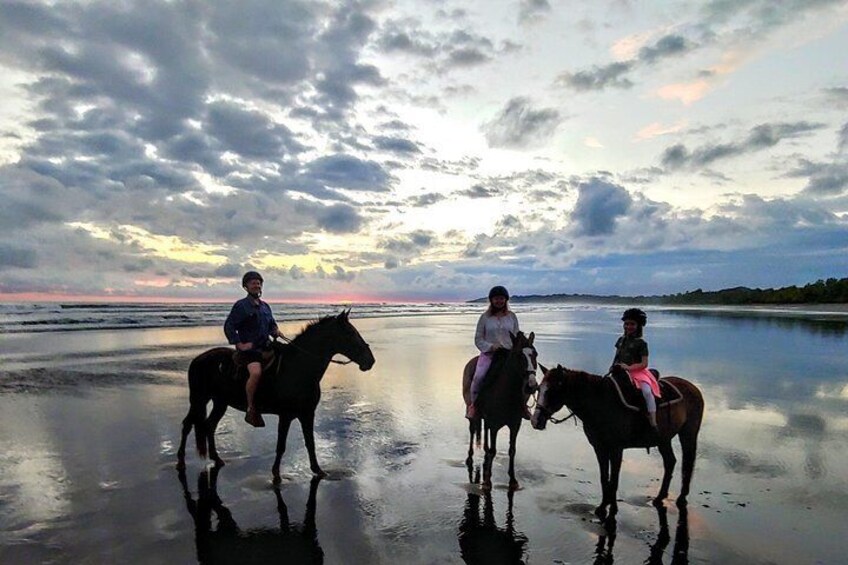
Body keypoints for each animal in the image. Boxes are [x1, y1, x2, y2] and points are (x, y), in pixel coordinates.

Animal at [176, 310, 374, 482]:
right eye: (350, 334)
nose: (370, 361)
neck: (299, 368)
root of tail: (198, 359)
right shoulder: (285, 416)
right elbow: (281, 445)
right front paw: (276, 475)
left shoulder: (307, 414)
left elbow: (310, 443)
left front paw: (318, 470)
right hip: (199, 399)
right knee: (187, 425)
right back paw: (180, 461)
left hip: (220, 402)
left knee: (209, 426)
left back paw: (216, 459)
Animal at [464, 330, 536, 490]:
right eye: (518, 355)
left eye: (535, 354)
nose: (531, 386)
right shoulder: (495, 425)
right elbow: (493, 450)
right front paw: (487, 482)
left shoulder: (515, 425)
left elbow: (512, 450)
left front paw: (513, 480)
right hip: (472, 413)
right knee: (472, 431)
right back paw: (469, 457)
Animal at [528, 364, 704, 516]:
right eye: (539, 389)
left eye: (552, 391)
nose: (535, 421)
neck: (600, 403)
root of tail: (694, 389)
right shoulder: (599, 448)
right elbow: (604, 477)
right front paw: (603, 506)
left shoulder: (616, 449)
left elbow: (614, 479)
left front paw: (611, 507)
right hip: (663, 439)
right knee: (670, 462)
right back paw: (660, 497)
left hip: (688, 434)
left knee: (687, 464)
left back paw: (681, 498)